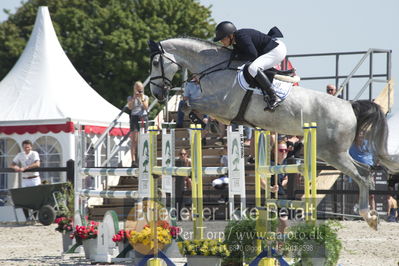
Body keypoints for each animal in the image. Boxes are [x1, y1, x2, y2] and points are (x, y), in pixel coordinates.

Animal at [149, 37, 399, 229]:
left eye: (155, 62)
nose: (156, 93)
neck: (215, 68)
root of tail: (350, 106)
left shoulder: (221, 105)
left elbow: (188, 100)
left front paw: (202, 121)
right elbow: (190, 100)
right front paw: (206, 124)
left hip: (331, 153)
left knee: (362, 176)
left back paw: (369, 217)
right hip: (332, 153)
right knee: (364, 172)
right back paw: (370, 216)